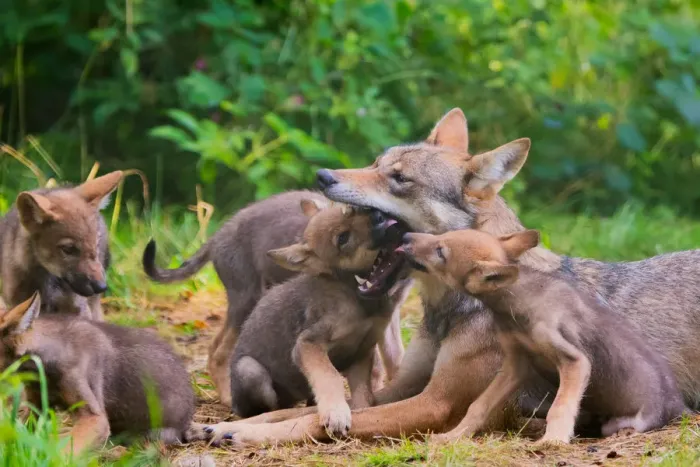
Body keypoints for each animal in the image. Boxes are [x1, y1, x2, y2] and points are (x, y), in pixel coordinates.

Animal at [143, 191, 408, 406]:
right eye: (342, 237)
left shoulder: (389, 317)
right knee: (220, 353)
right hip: (246, 303)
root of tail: (216, 237)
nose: (380, 218)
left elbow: (393, 359)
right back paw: (229, 398)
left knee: (215, 347)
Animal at [200, 108, 700, 447]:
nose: (322, 175)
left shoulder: (434, 403)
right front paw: (226, 424)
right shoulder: (399, 388)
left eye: (399, 179)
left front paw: (252, 436)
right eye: (376, 162)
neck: (449, 307)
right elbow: (299, 409)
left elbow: (311, 419)